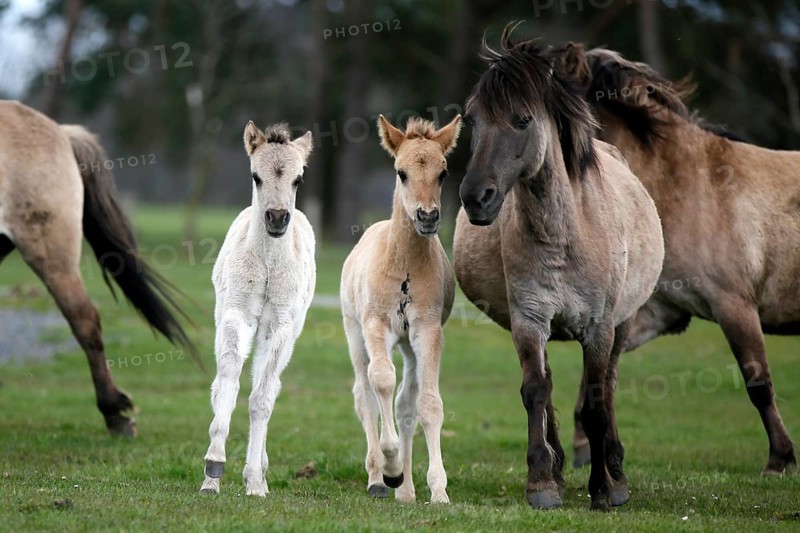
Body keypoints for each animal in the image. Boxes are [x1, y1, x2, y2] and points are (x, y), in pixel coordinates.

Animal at [200, 122, 315, 497]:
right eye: (255, 176)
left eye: (298, 179)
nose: (277, 218)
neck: (267, 265)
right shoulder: (236, 316)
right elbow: (229, 381)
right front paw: (213, 467)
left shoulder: (279, 327)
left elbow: (261, 398)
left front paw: (254, 482)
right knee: (224, 381)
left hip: (289, 336)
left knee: (270, 386)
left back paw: (261, 472)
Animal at [340, 114, 461, 503]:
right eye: (401, 172)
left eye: (443, 172)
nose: (427, 216)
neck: (404, 266)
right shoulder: (375, 324)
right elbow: (380, 379)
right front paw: (389, 466)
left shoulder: (427, 330)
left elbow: (427, 404)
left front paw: (437, 491)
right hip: (354, 333)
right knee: (364, 393)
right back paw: (378, 478)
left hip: (408, 346)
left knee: (405, 402)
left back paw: (405, 491)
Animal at [454, 27, 664, 511]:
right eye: (473, 119)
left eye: (523, 120)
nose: (476, 198)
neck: (565, 236)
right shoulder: (530, 319)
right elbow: (535, 391)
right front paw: (542, 484)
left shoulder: (599, 326)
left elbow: (595, 404)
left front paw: (603, 490)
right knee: (548, 386)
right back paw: (558, 467)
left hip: (623, 324)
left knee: (609, 388)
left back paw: (616, 472)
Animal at [549, 43, 799, 476]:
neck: (686, 185)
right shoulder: (658, 312)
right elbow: (597, 374)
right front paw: (586, 447)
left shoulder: (734, 306)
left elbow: (759, 383)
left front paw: (780, 459)